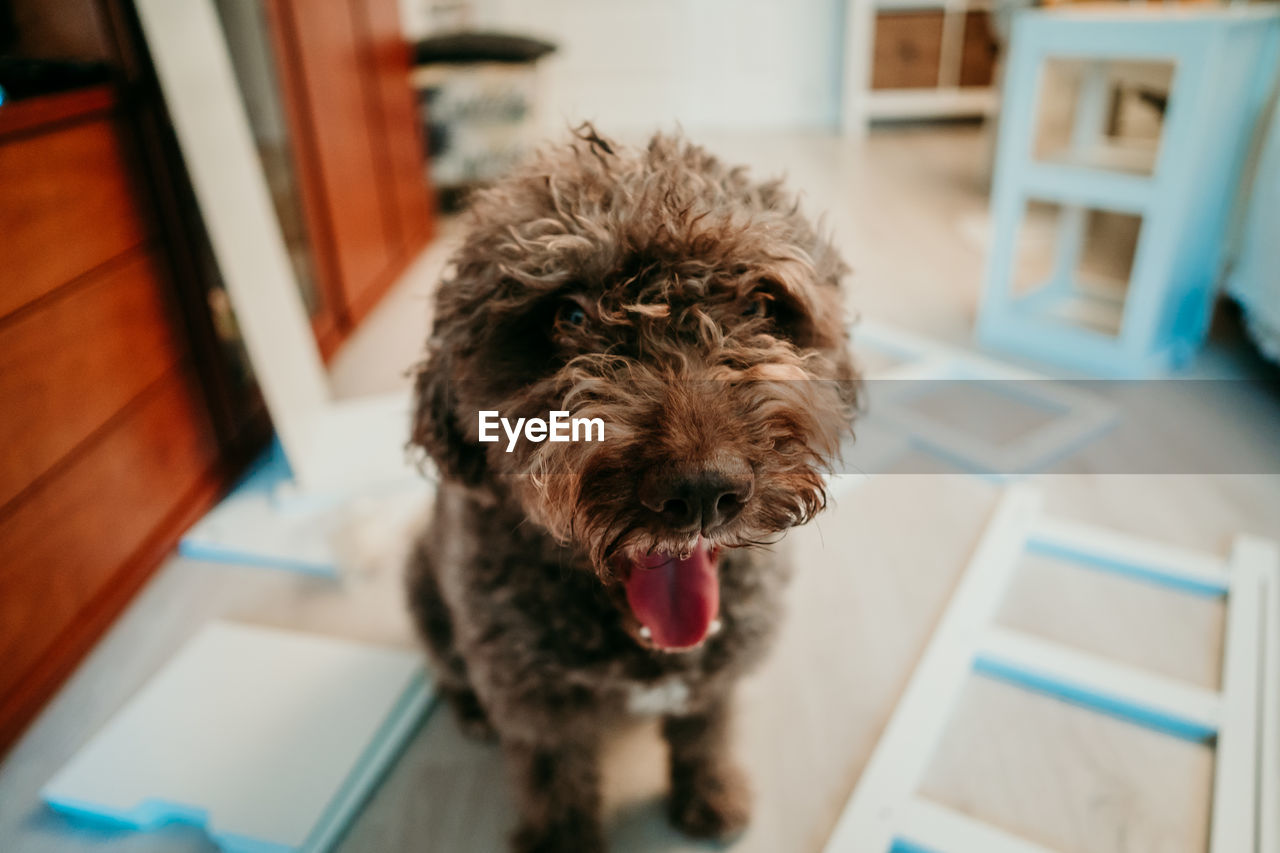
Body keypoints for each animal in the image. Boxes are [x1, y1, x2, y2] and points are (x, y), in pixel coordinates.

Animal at [404, 126, 855, 850]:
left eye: (762, 304)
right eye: (568, 315)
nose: (702, 491)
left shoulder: (715, 678)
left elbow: (705, 733)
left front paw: (711, 797)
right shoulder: (539, 708)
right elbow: (557, 783)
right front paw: (562, 841)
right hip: (421, 586)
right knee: (448, 665)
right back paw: (471, 709)